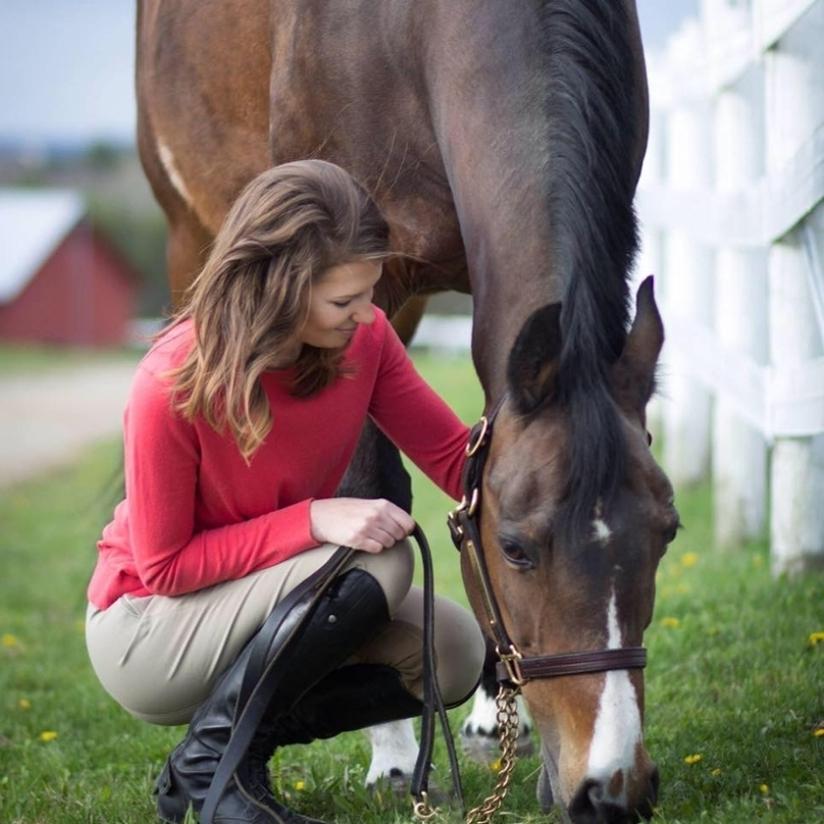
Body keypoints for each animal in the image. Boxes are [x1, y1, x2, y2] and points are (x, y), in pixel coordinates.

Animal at [137, 3, 676, 820]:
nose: (612, 787)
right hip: (191, 241)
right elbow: (374, 496)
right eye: (516, 548)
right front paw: (394, 753)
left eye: (667, 533)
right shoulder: (361, 289)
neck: (408, 34)